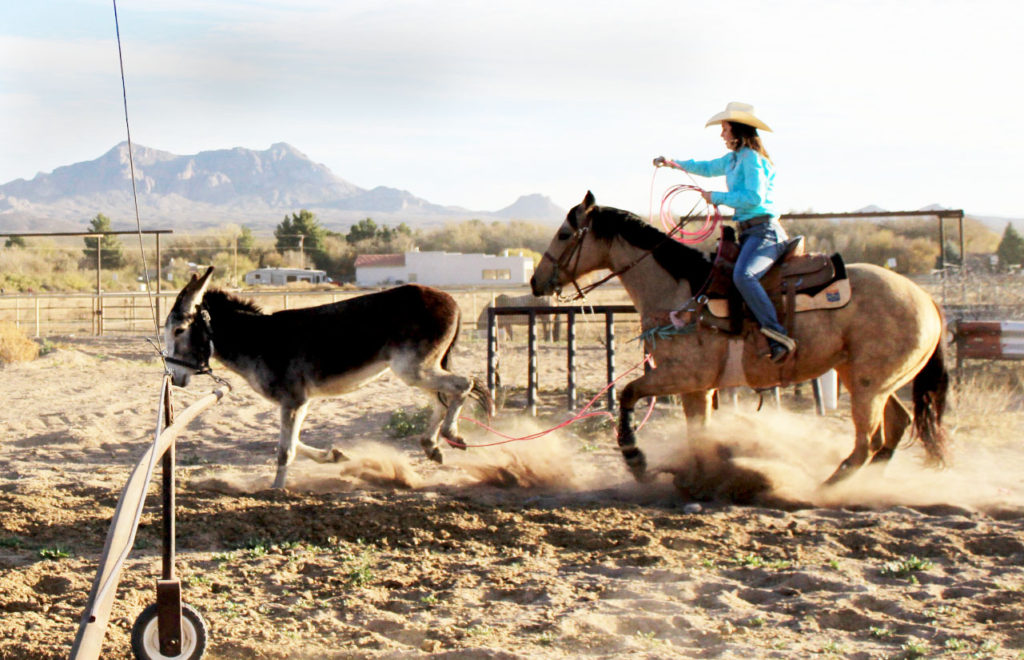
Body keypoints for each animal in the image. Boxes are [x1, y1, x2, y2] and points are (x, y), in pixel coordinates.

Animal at [163, 268, 491, 489]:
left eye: (179, 330)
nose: (174, 377)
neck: (259, 341)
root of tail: (451, 300)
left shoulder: (294, 400)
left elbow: (285, 449)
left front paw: (276, 490)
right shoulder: (299, 402)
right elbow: (293, 442)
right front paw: (333, 456)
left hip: (414, 369)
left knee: (464, 384)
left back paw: (449, 435)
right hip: (422, 370)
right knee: (445, 396)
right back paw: (431, 445)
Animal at [532, 190, 946, 482]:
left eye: (565, 233)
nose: (537, 281)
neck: (682, 292)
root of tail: (927, 299)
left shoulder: (683, 376)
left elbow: (628, 393)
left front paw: (637, 460)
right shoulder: (698, 388)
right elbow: (698, 433)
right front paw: (699, 480)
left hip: (867, 385)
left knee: (867, 443)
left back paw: (822, 488)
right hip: (872, 380)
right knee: (895, 427)